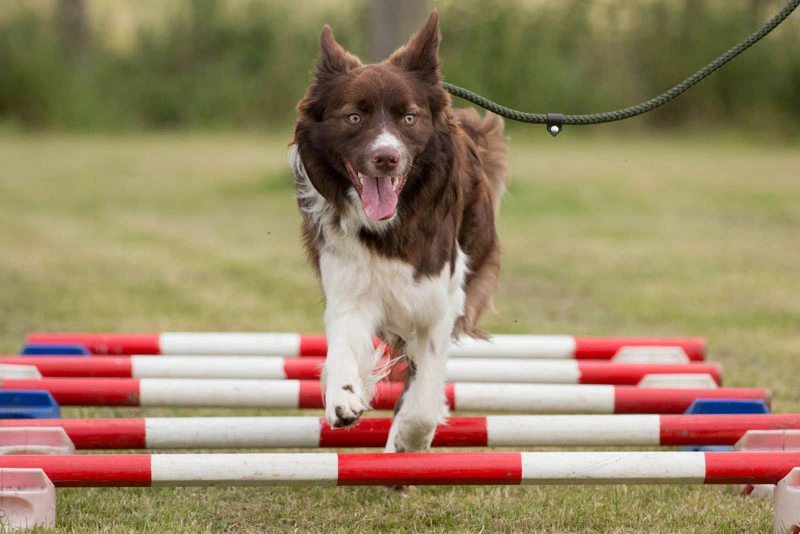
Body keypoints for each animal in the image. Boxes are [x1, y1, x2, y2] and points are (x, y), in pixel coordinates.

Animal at [290, 11, 510, 456]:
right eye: (353, 117)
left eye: (409, 117)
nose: (386, 157)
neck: (390, 225)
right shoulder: (349, 287)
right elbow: (343, 345)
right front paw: (342, 398)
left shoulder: (441, 298)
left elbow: (423, 397)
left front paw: (409, 439)